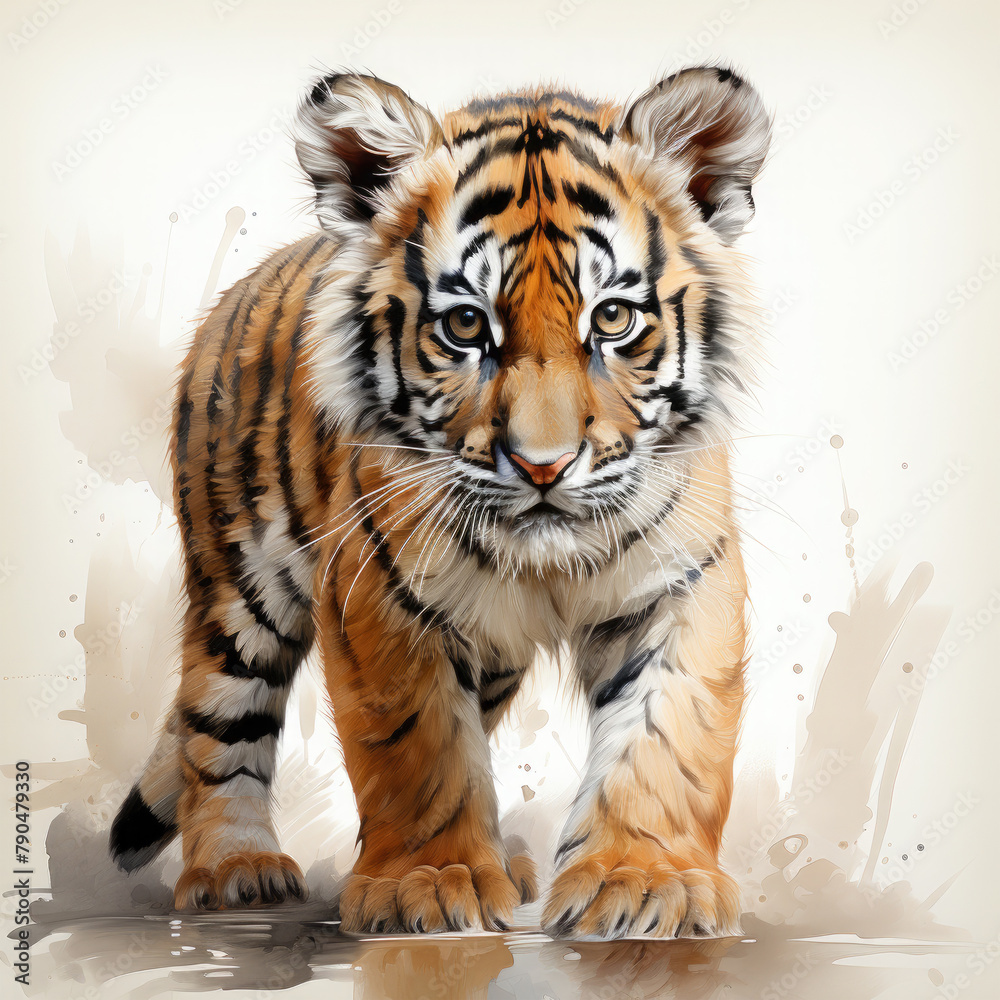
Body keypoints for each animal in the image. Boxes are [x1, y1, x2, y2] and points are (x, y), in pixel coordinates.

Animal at [108, 65, 771, 939]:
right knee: (217, 726)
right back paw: (233, 869)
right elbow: (416, 748)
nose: (543, 466)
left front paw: (643, 880)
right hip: (238, 588)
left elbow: (666, 736)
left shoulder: (683, 581)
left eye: (613, 318)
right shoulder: (380, 594)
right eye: (464, 325)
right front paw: (427, 881)